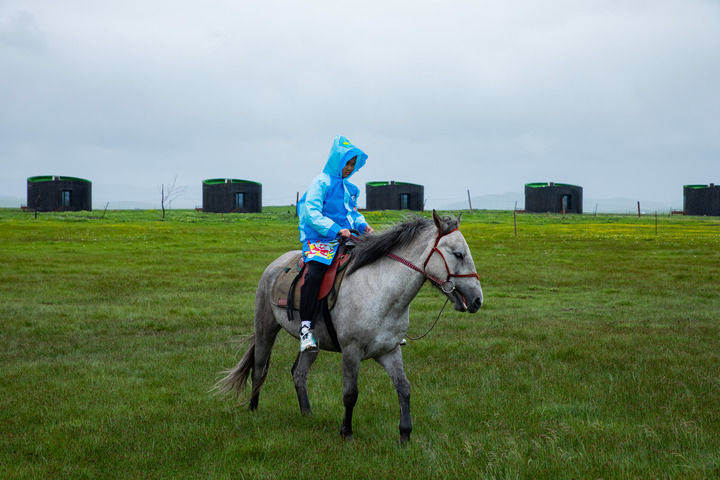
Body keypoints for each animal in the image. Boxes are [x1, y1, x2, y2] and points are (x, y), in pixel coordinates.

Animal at [217, 210, 480, 442]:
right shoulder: (351, 351)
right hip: (266, 328)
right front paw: (346, 433)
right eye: (458, 254)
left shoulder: (389, 350)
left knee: (299, 373)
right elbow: (350, 393)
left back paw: (307, 414)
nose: (477, 299)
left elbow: (404, 388)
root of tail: (274, 265)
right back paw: (253, 409)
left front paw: (405, 435)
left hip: (312, 346)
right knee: (259, 369)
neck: (379, 290)